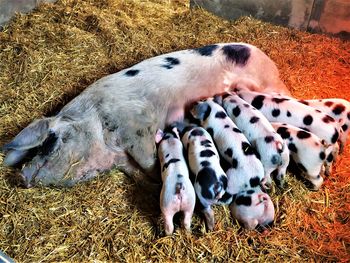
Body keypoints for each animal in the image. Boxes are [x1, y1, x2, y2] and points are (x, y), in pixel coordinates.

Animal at [1, 42, 290, 188]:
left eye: (49, 142)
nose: (22, 176)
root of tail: (261, 53)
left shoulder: (137, 122)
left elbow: (147, 157)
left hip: (269, 83)